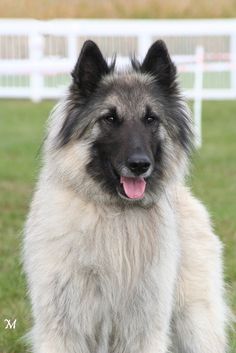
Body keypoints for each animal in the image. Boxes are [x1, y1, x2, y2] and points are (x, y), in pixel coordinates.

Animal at [23, 40, 229, 350]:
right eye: (110, 118)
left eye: (150, 119)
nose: (140, 165)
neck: (113, 213)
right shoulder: (63, 329)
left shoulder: (143, 330)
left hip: (195, 325)